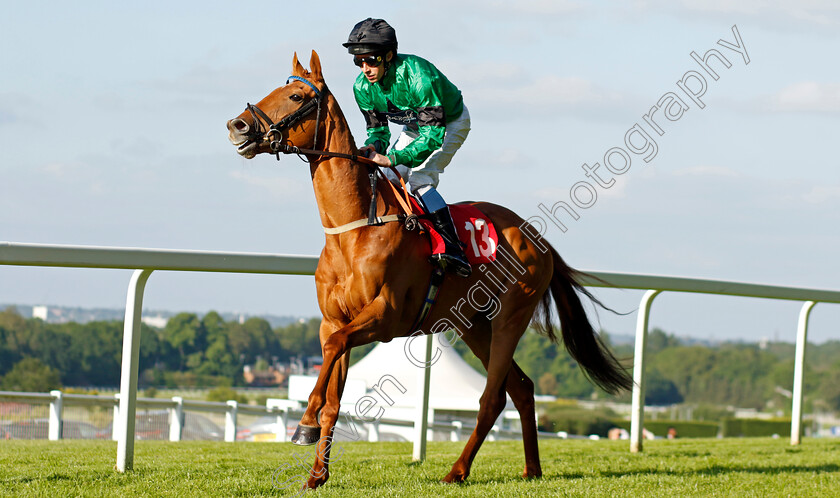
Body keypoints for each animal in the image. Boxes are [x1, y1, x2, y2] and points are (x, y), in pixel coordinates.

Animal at [225, 51, 632, 490]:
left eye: (297, 96)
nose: (237, 126)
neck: (354, 230)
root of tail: (534, 235)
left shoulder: (385, 317)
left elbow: (334, 351)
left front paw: (304, 424)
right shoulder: (333, 319)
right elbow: (334, 391)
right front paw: (316, 474)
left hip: (511, 316)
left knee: (493, 397)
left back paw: (457, 471)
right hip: (474, 325)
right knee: (521, 388)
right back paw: (531, 468)